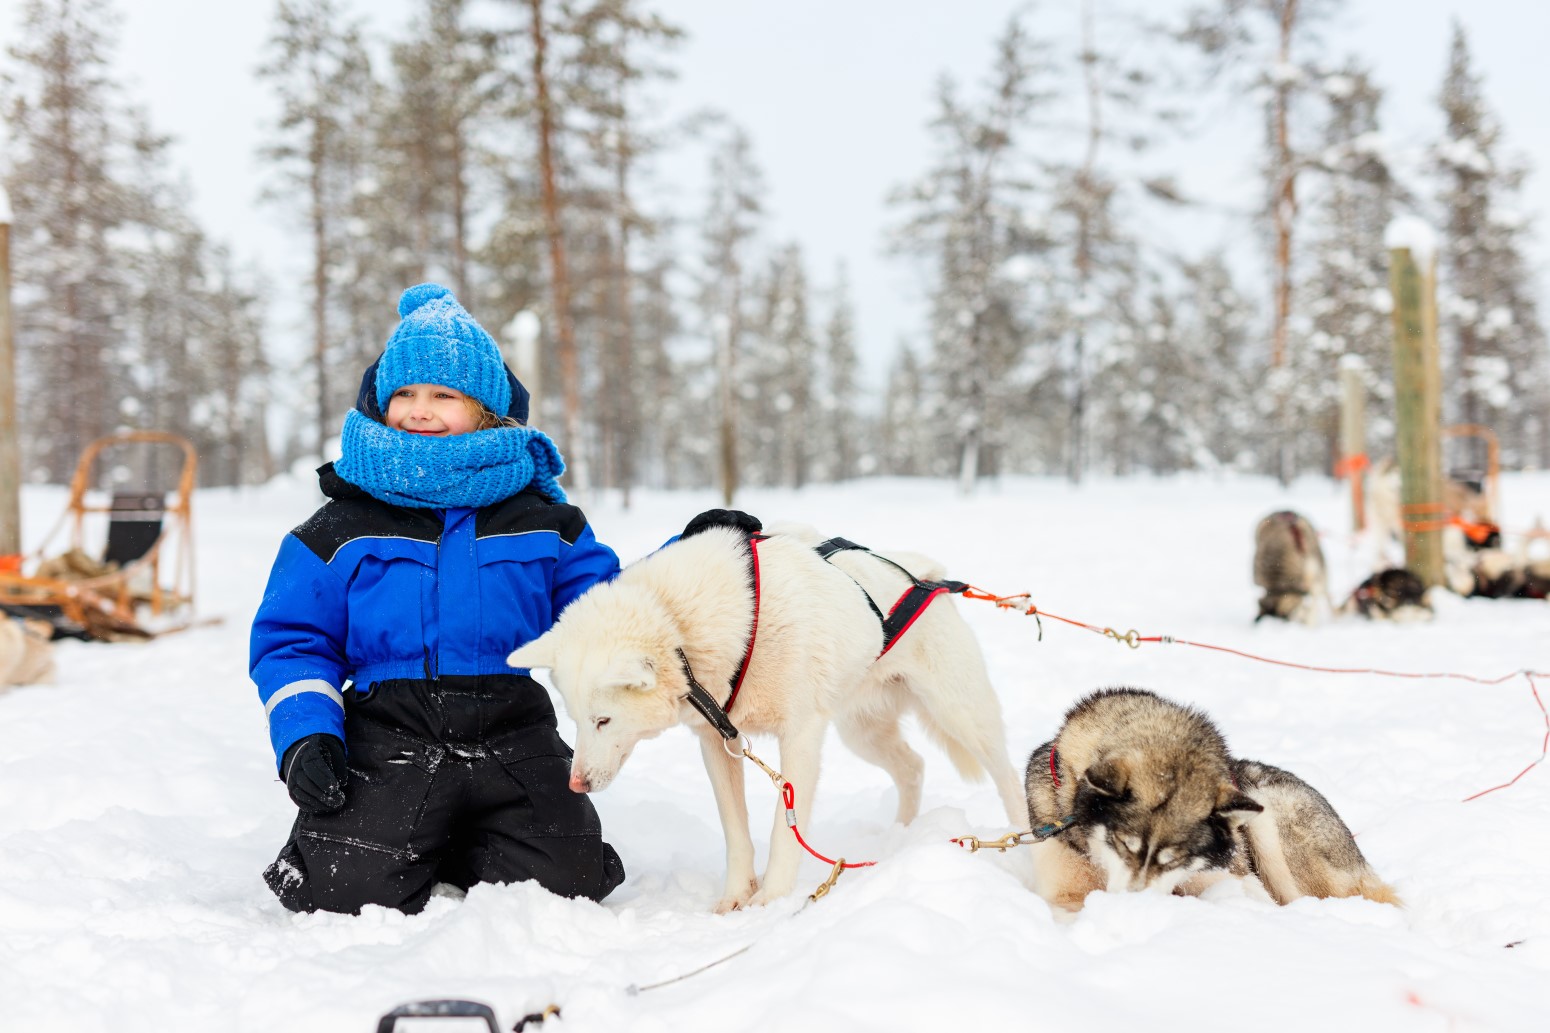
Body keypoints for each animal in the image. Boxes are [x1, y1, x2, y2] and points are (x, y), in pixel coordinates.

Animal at [508, 524, 1029, 912]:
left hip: (960, 712)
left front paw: (773, 897)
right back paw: (899, 837)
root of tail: (928, 576)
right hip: (862, 732)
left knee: (1005, 772)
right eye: (576, 720)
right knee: (912, 768)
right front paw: (736, 895)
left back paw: (1023, 843)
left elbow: (785, 828)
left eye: (603, 721)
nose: (575, 784)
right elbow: (736, 831)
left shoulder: (800, 737)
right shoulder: (718, 741)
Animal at [1022, 688, 1401, 905]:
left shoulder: (1234, 882)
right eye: (1124, 844)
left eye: (1176, 859)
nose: (1136, 907)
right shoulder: (1062, 889)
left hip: (1268, 815)